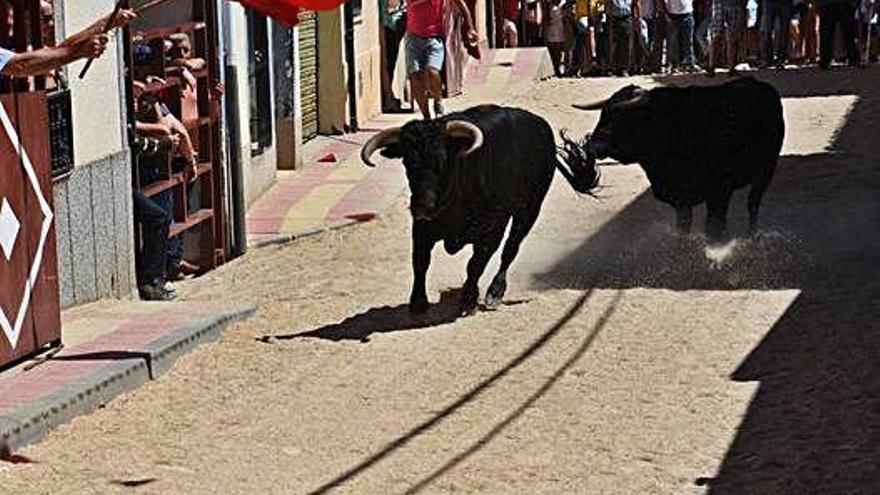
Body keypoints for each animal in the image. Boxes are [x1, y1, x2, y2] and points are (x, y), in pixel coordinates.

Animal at [360, 104, 600, 316]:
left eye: (442, 160)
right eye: (407, 163)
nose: (422, 206)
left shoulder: (493, 229)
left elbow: (476, 264)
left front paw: (468, 300)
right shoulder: (422, 229)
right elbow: (420, 262)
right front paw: (418, 302)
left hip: (529, 209)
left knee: (510, 249)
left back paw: (495, 292)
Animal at [568, 77, 788, 244]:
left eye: (622, 117)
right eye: (603, 113)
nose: (594, 144)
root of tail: (761, 86)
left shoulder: (719, 191)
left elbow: (713, 228)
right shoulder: (681, 199)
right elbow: (684, 227)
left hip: (766, 171)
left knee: (753, 204)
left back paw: (753, 235)